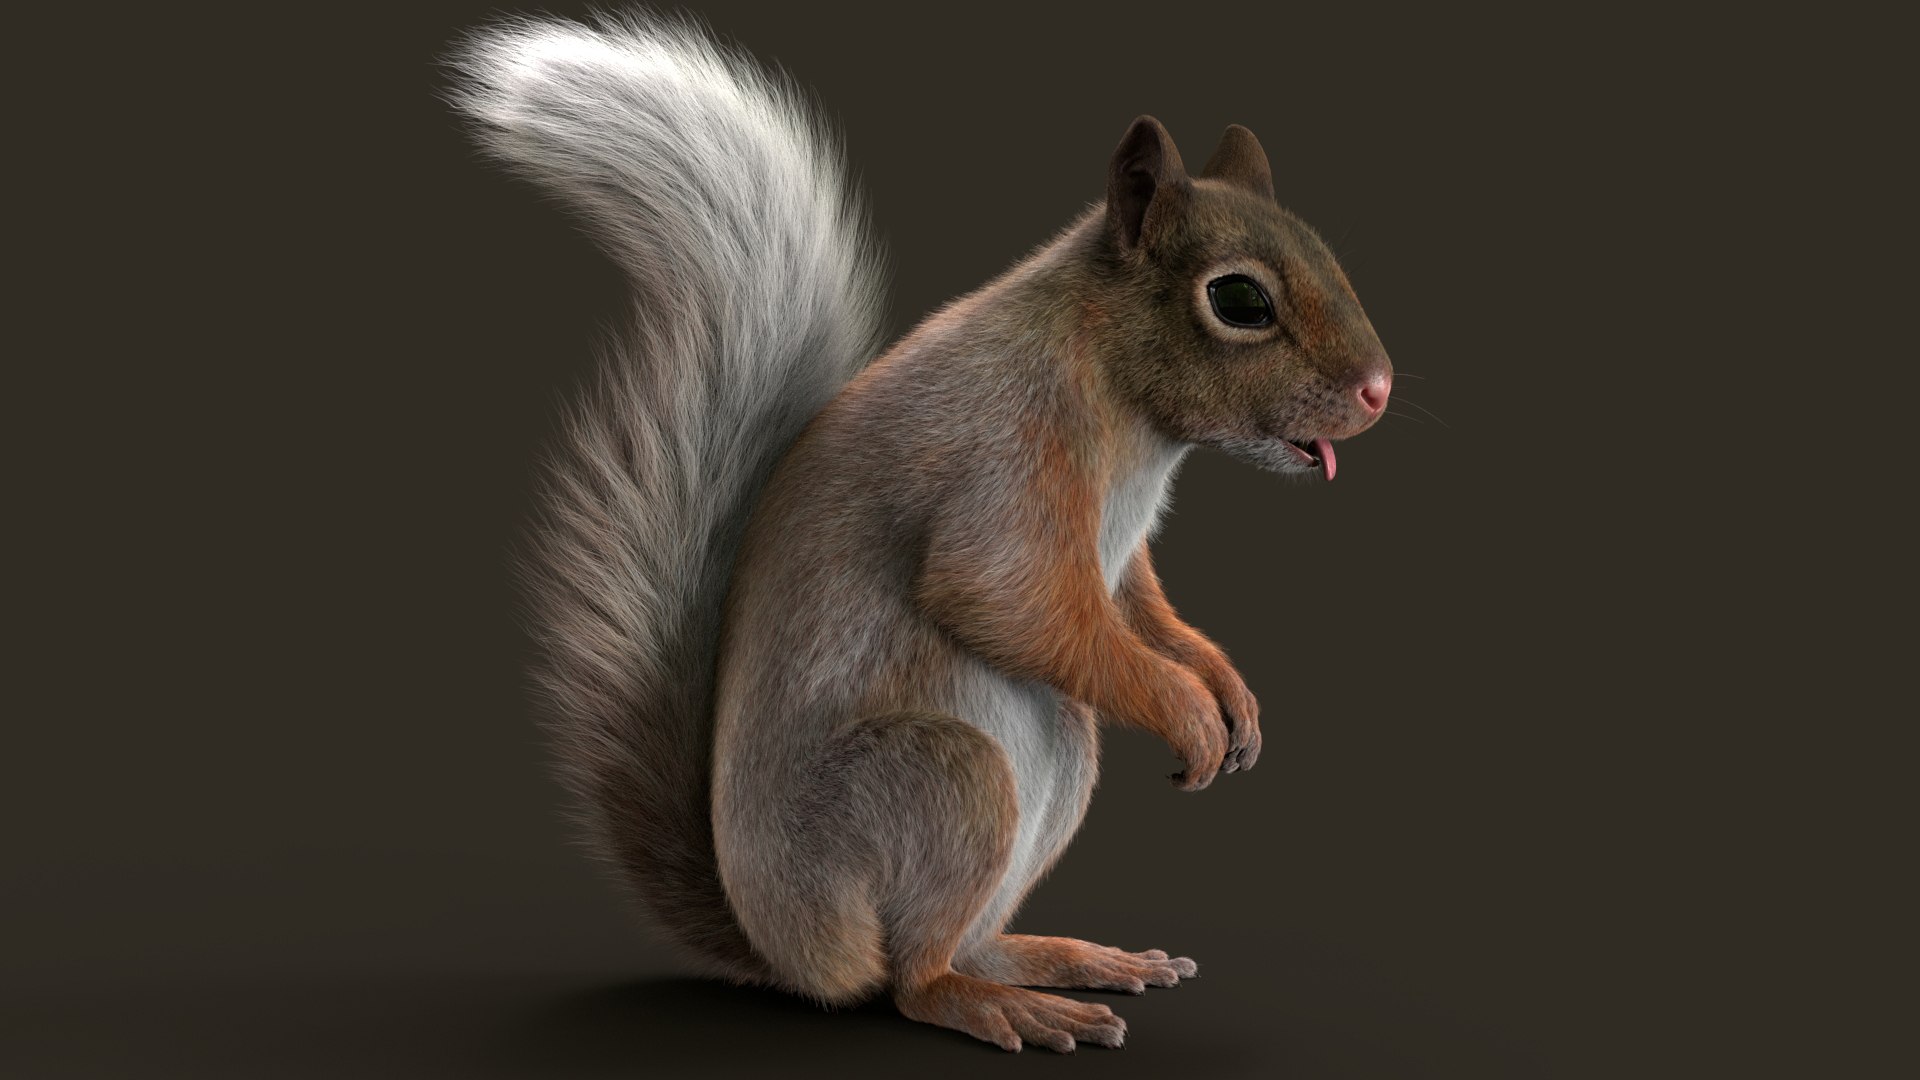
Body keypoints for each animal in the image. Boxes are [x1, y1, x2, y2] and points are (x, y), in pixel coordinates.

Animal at [451, 12, 1392, 1053]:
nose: (1379, 391)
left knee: (959, 940)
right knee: (910, 981)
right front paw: (1188, 709)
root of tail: (786, 949)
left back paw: (1058, 958)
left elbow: (1137, 607)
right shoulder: (1005, 454)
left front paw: (1228, 691)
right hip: (940, 780)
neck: (1117, 389)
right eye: (1239, 301)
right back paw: (990, 1002)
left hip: (1053, 766)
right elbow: (1003, 596)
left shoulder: (1112, 565)